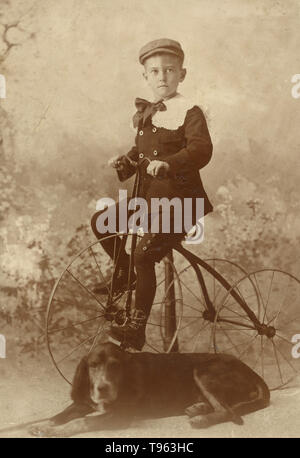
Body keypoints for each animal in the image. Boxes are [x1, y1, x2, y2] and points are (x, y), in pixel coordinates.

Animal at [30, 344, 270, 436]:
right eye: (93, 365)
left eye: (115, 366)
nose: (102, 389)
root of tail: (252, 372)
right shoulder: (85, 403)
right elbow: (61, 415)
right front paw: (42, 425)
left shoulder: (120, 416)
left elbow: (82, 421)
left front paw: (53, 432)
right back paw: (198, 408)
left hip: (203, 370)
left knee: (228, 410)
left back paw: (202, 419)